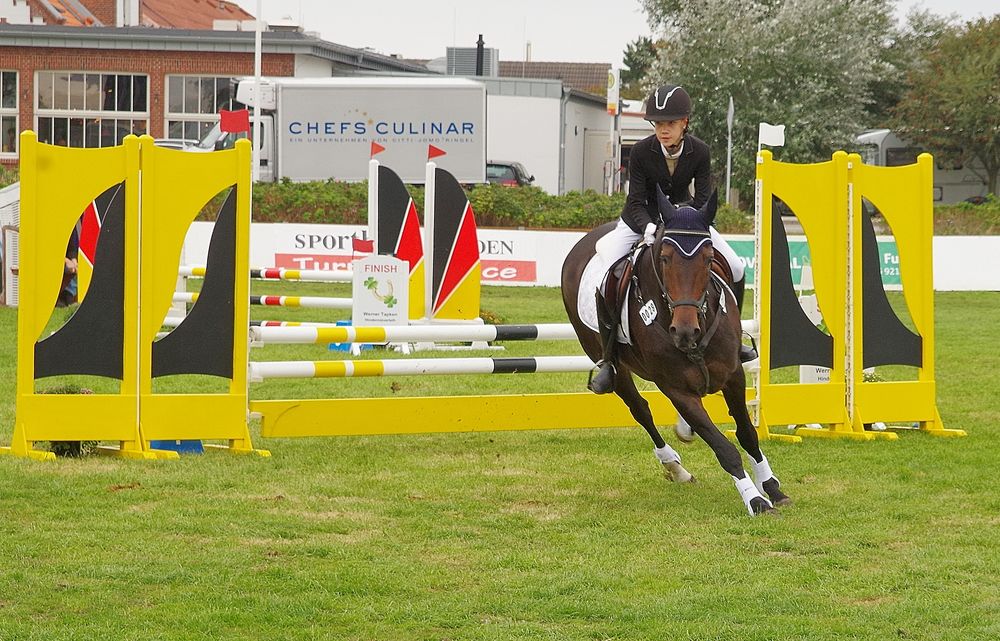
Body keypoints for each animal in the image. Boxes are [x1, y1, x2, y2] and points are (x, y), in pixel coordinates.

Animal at [564, 189, 788, 516]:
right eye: (665, 259)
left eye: (709, 259)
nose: (684, 332)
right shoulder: (676, 389)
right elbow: (723, 447)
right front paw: (755, 499)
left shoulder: (733, 375)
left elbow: (747, 433)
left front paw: (771, 486)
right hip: (611, 362)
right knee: (640, 409)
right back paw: (675, 467)